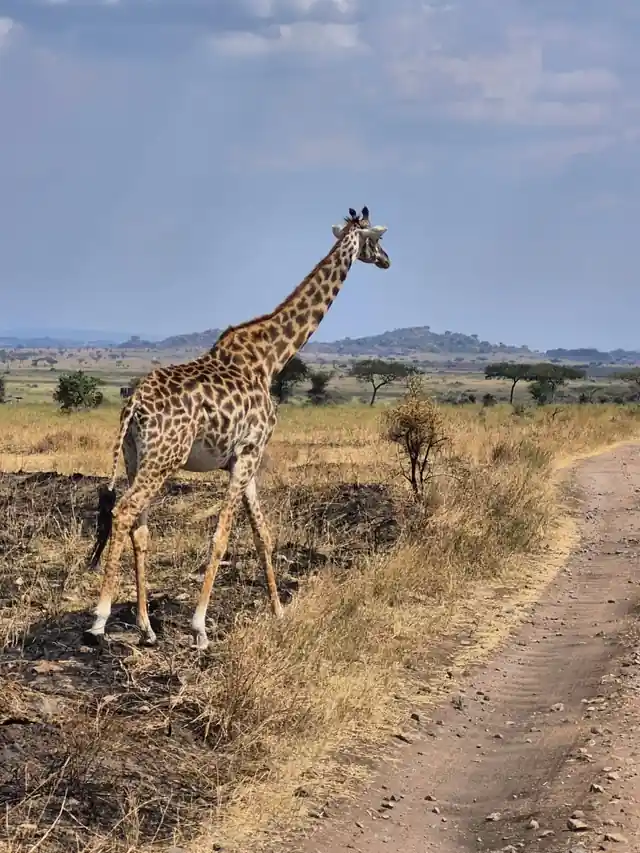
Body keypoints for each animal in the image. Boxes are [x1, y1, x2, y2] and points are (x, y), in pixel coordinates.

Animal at [85, 206, 391, 651]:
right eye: (377, 238)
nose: (387, 261)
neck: (270, 359)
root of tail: (134, 403)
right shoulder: (250, 452)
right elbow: (222, 536)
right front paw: (199, 628)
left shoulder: (243, 458)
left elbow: (263, 534)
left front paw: (279, 612)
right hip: (164, 457)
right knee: (124, 511)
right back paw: (100, 619)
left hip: (134, 457)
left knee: (139, 527)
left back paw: (146, 627)